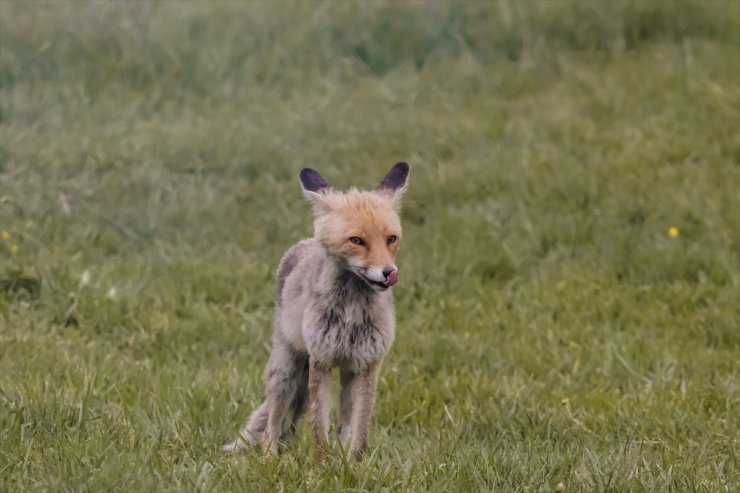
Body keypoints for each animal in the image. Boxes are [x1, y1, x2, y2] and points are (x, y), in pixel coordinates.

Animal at [223, 161, 410, 462]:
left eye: (391, 239)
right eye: (357, 240)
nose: (388, 272)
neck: (352, 315)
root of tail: (305, 243)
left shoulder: (368, 365)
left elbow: (359, 433)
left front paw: (354, 466)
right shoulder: (320, 361)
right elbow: (318, 431)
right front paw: (320, 467)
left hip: (343, 376)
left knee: (337, 424)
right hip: (285, 373)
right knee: (271, 426)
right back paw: (269, 460)